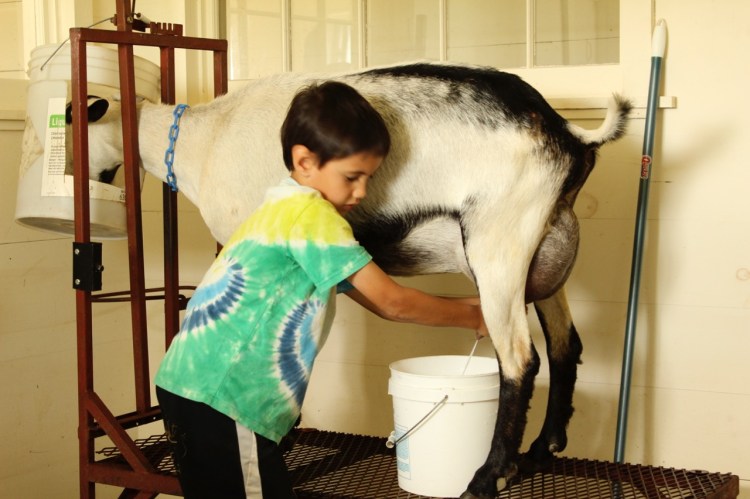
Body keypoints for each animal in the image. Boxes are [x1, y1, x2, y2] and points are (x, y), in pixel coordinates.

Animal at [72, 63, 636, 499]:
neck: (204, 139)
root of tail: (567, 132)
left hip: (499, 244)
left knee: (520, 359)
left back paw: (488, 476)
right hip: (542, 253)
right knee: (565, 345)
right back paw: (542, 450)